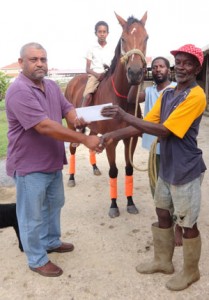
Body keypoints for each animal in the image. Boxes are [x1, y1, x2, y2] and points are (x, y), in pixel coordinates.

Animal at [64, 11, 148, 218]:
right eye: (123, 39)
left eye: (146, 37)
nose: (135, 73)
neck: (121, 98)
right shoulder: (111, 140)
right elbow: (113, 171)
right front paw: (114, 206)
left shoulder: (131, 138)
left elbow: (128, 168)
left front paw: (130, 202)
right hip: (71, 125)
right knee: (73, 148)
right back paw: (71, 178)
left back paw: (94, 168)